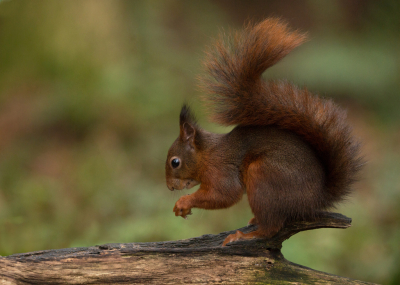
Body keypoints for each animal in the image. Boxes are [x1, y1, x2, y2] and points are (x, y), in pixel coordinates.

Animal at [164, 18, 360, 244]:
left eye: (175, 162)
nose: (169, 187)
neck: (207, 155)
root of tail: (315, 199)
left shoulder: (222, 171)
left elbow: (225, 195)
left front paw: (184, 202)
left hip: (264, 177)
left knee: (271, 228)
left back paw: (244, 235)